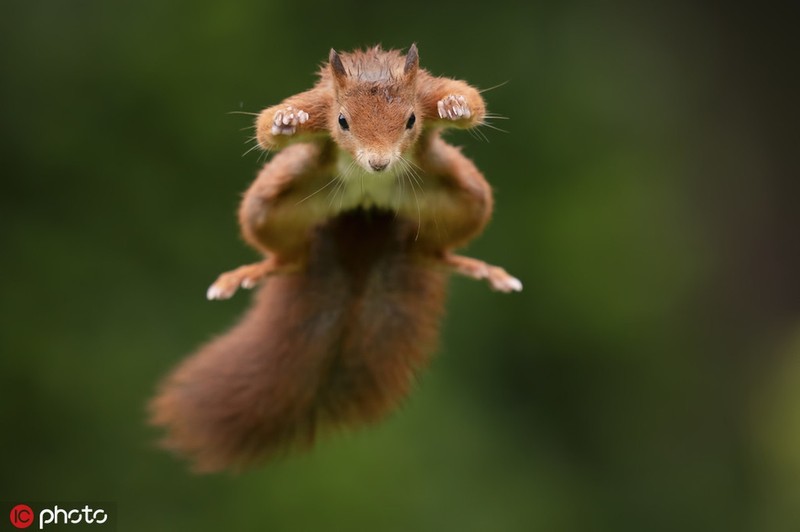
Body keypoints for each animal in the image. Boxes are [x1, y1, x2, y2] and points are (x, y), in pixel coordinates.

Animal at [150, 43, 520, 472]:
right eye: (342, 121)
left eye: (411, 120)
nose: (379, 163)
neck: (373, 74)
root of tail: (366, 213)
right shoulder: (319, 103)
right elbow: (264, 129)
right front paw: (285, 121)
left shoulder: (426, 91)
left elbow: (473, 100)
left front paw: (455, 106)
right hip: (265, 207)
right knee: (290, 257)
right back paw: (254, 270)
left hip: (469, 198)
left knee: (432, 251)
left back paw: (472, 266)